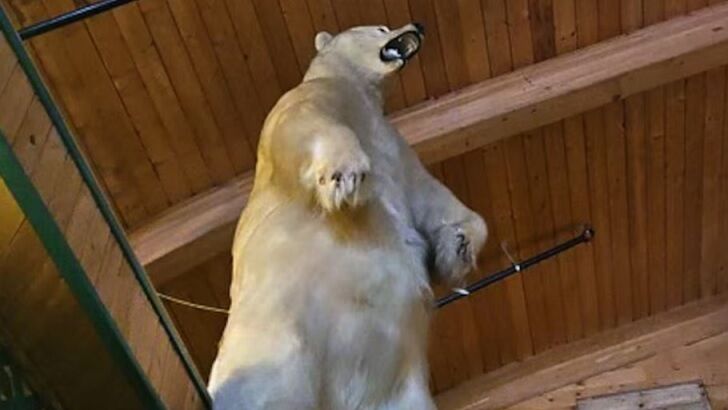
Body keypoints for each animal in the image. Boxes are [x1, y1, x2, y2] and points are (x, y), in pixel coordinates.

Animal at [207, 23, 487, 410]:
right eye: (380, 27)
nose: (416, 26)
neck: (361, 93)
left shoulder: (397, 150)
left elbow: (431, 199)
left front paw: (458, 248)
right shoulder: (310, 99)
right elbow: (303, 122)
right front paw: (345, 175)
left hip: (395, 385)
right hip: (277, 343)